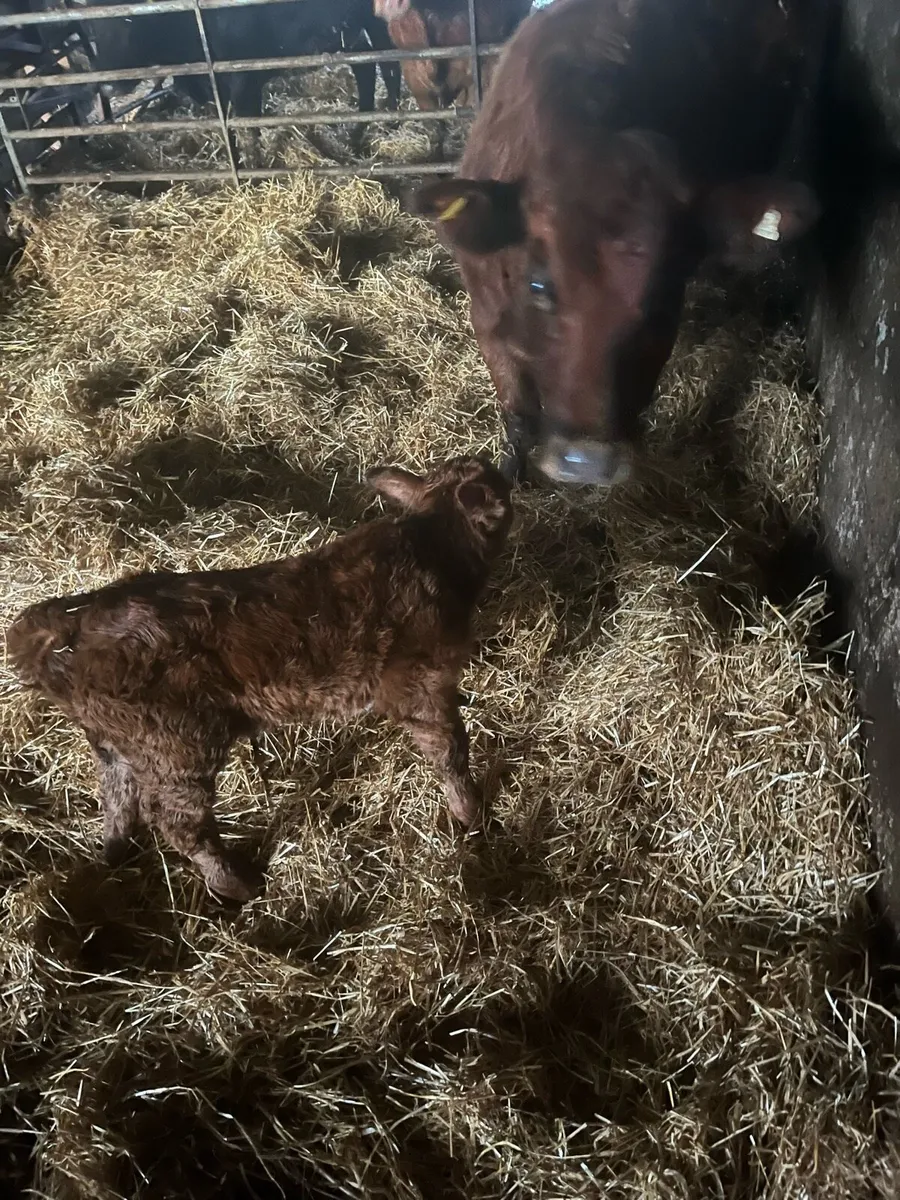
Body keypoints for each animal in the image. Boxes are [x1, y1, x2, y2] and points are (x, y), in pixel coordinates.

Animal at [6, 457, 513, 903]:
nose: (510, 475)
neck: (433, 546)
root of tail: (67, 623)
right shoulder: (421, 681)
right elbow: (449, 750)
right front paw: (472, 814)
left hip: (115, 743)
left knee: (118, 798)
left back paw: (114, 856)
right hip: (175, 743)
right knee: (177, 820)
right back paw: (239, 886)